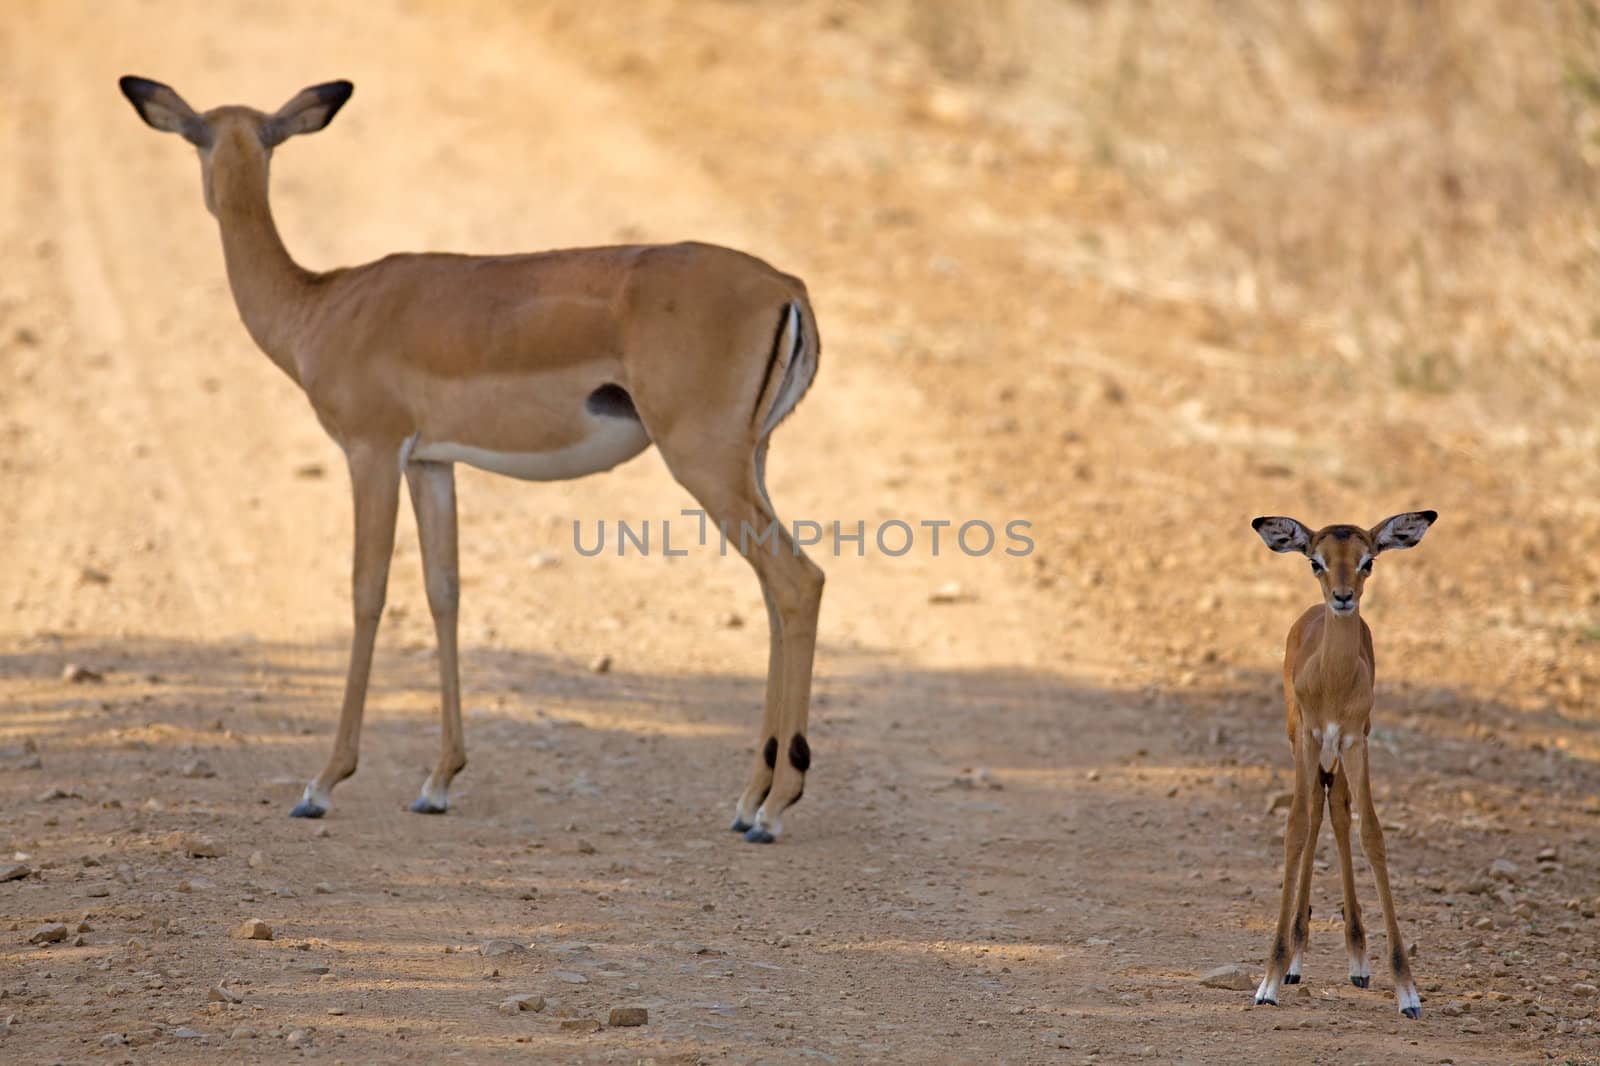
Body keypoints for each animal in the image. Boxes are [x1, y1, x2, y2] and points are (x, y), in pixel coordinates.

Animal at [118, 76, 825, 838]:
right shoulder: (430, 463)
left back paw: (775, 807)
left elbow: (368, 592)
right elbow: (444, 591)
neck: (322, 305)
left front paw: (322, 784)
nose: (210, 195)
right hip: (749, 461)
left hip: (704, 462)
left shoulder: (371, 450)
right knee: (774, 594)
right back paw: (749, 801)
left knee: (798, 581)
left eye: (202, 138)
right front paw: (437, 782)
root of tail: (787, 288)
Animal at [1248, 512, 1440, 1017]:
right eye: (1315, 561)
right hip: (1306, 745)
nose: (1342, 596)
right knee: (1314, 811)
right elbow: (1296, 828)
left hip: (1339, 755)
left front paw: (1407, 992)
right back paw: (1295, 961)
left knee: (1335, 807)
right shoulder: (1309, 738)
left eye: (1367, 560)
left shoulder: (1356, 742)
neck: (1332, 679)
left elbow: (1371, 833)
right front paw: (1269, 982)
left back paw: (1357, 960)